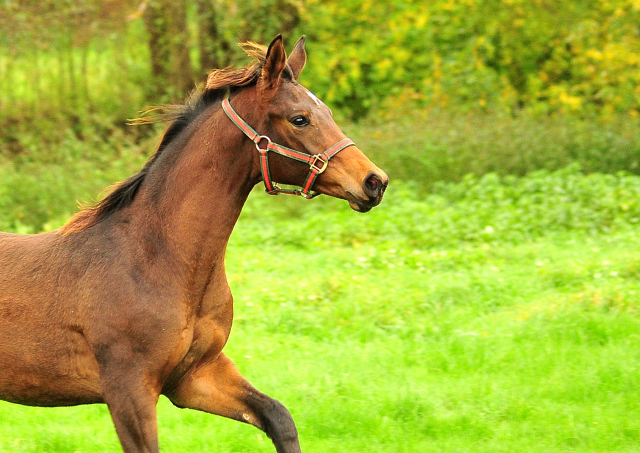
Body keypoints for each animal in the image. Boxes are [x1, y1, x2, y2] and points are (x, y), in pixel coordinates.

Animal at [0, 33, 388, 450]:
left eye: (328, 111)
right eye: (300, 118)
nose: (374, 181)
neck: (156, 260)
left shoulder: (195, 375)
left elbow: (279, 418)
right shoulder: (128, 390)